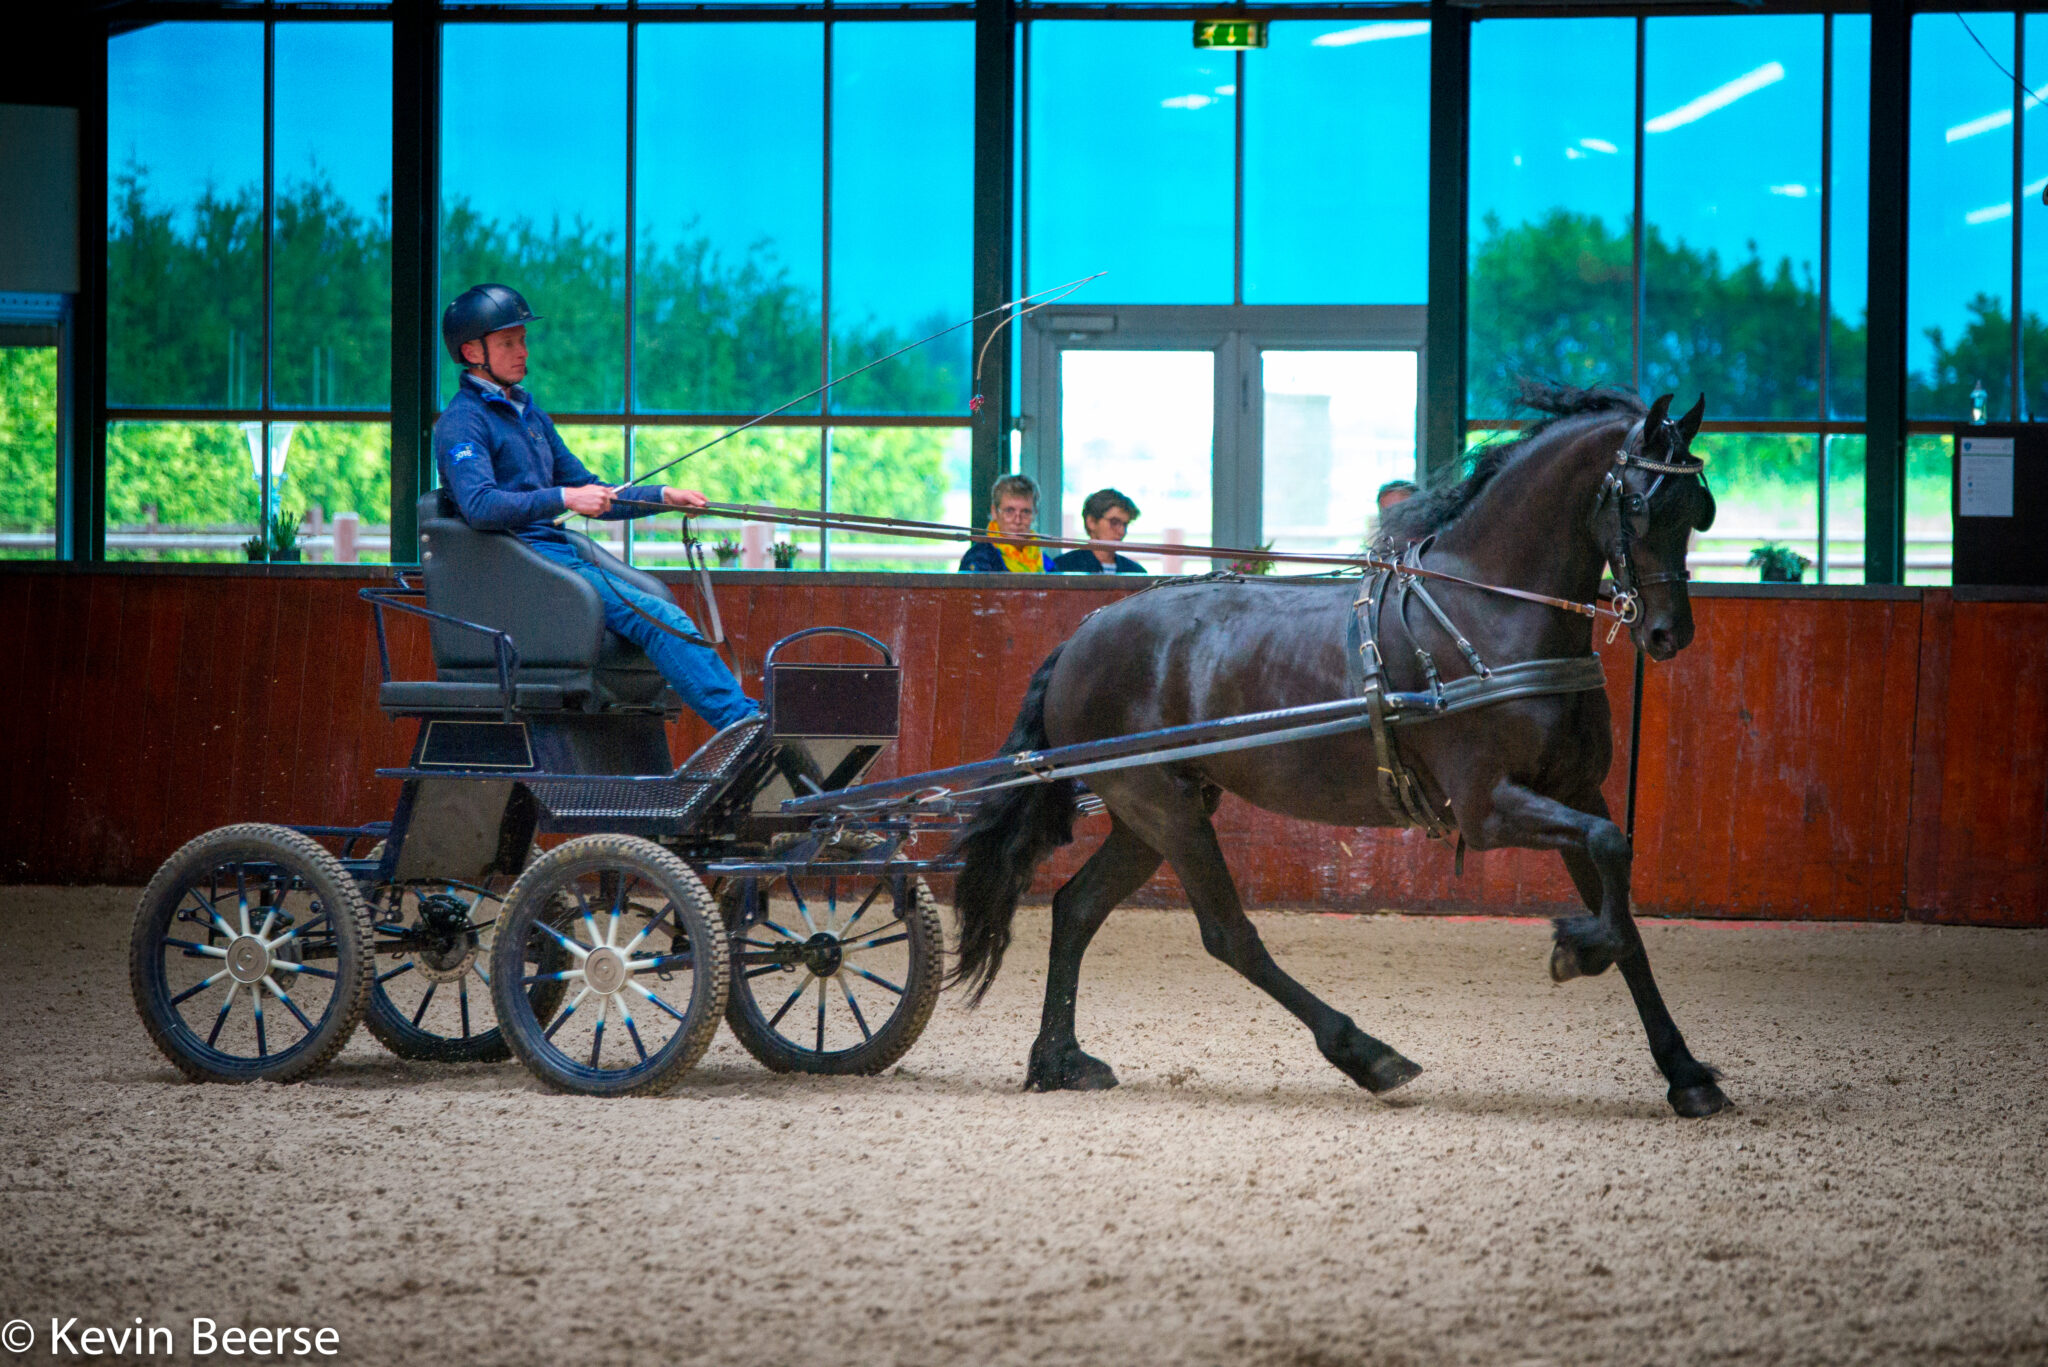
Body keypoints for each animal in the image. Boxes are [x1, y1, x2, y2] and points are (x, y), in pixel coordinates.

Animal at [942, 385, 1728, 1123]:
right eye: (1639, 502)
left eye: (1699, 509)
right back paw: (1367, 1054)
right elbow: (1609, 859)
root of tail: (1080, 638)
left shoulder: (1574, 792)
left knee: (1076, 908)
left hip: (1152, 812)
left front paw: (1686, 1073)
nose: (1668, 633)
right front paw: (1576, 949)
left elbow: (1621, 898)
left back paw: (1058, 1060)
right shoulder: (1487, 808)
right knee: (1228, 935)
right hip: (1162, 807)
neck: (1488, 615)